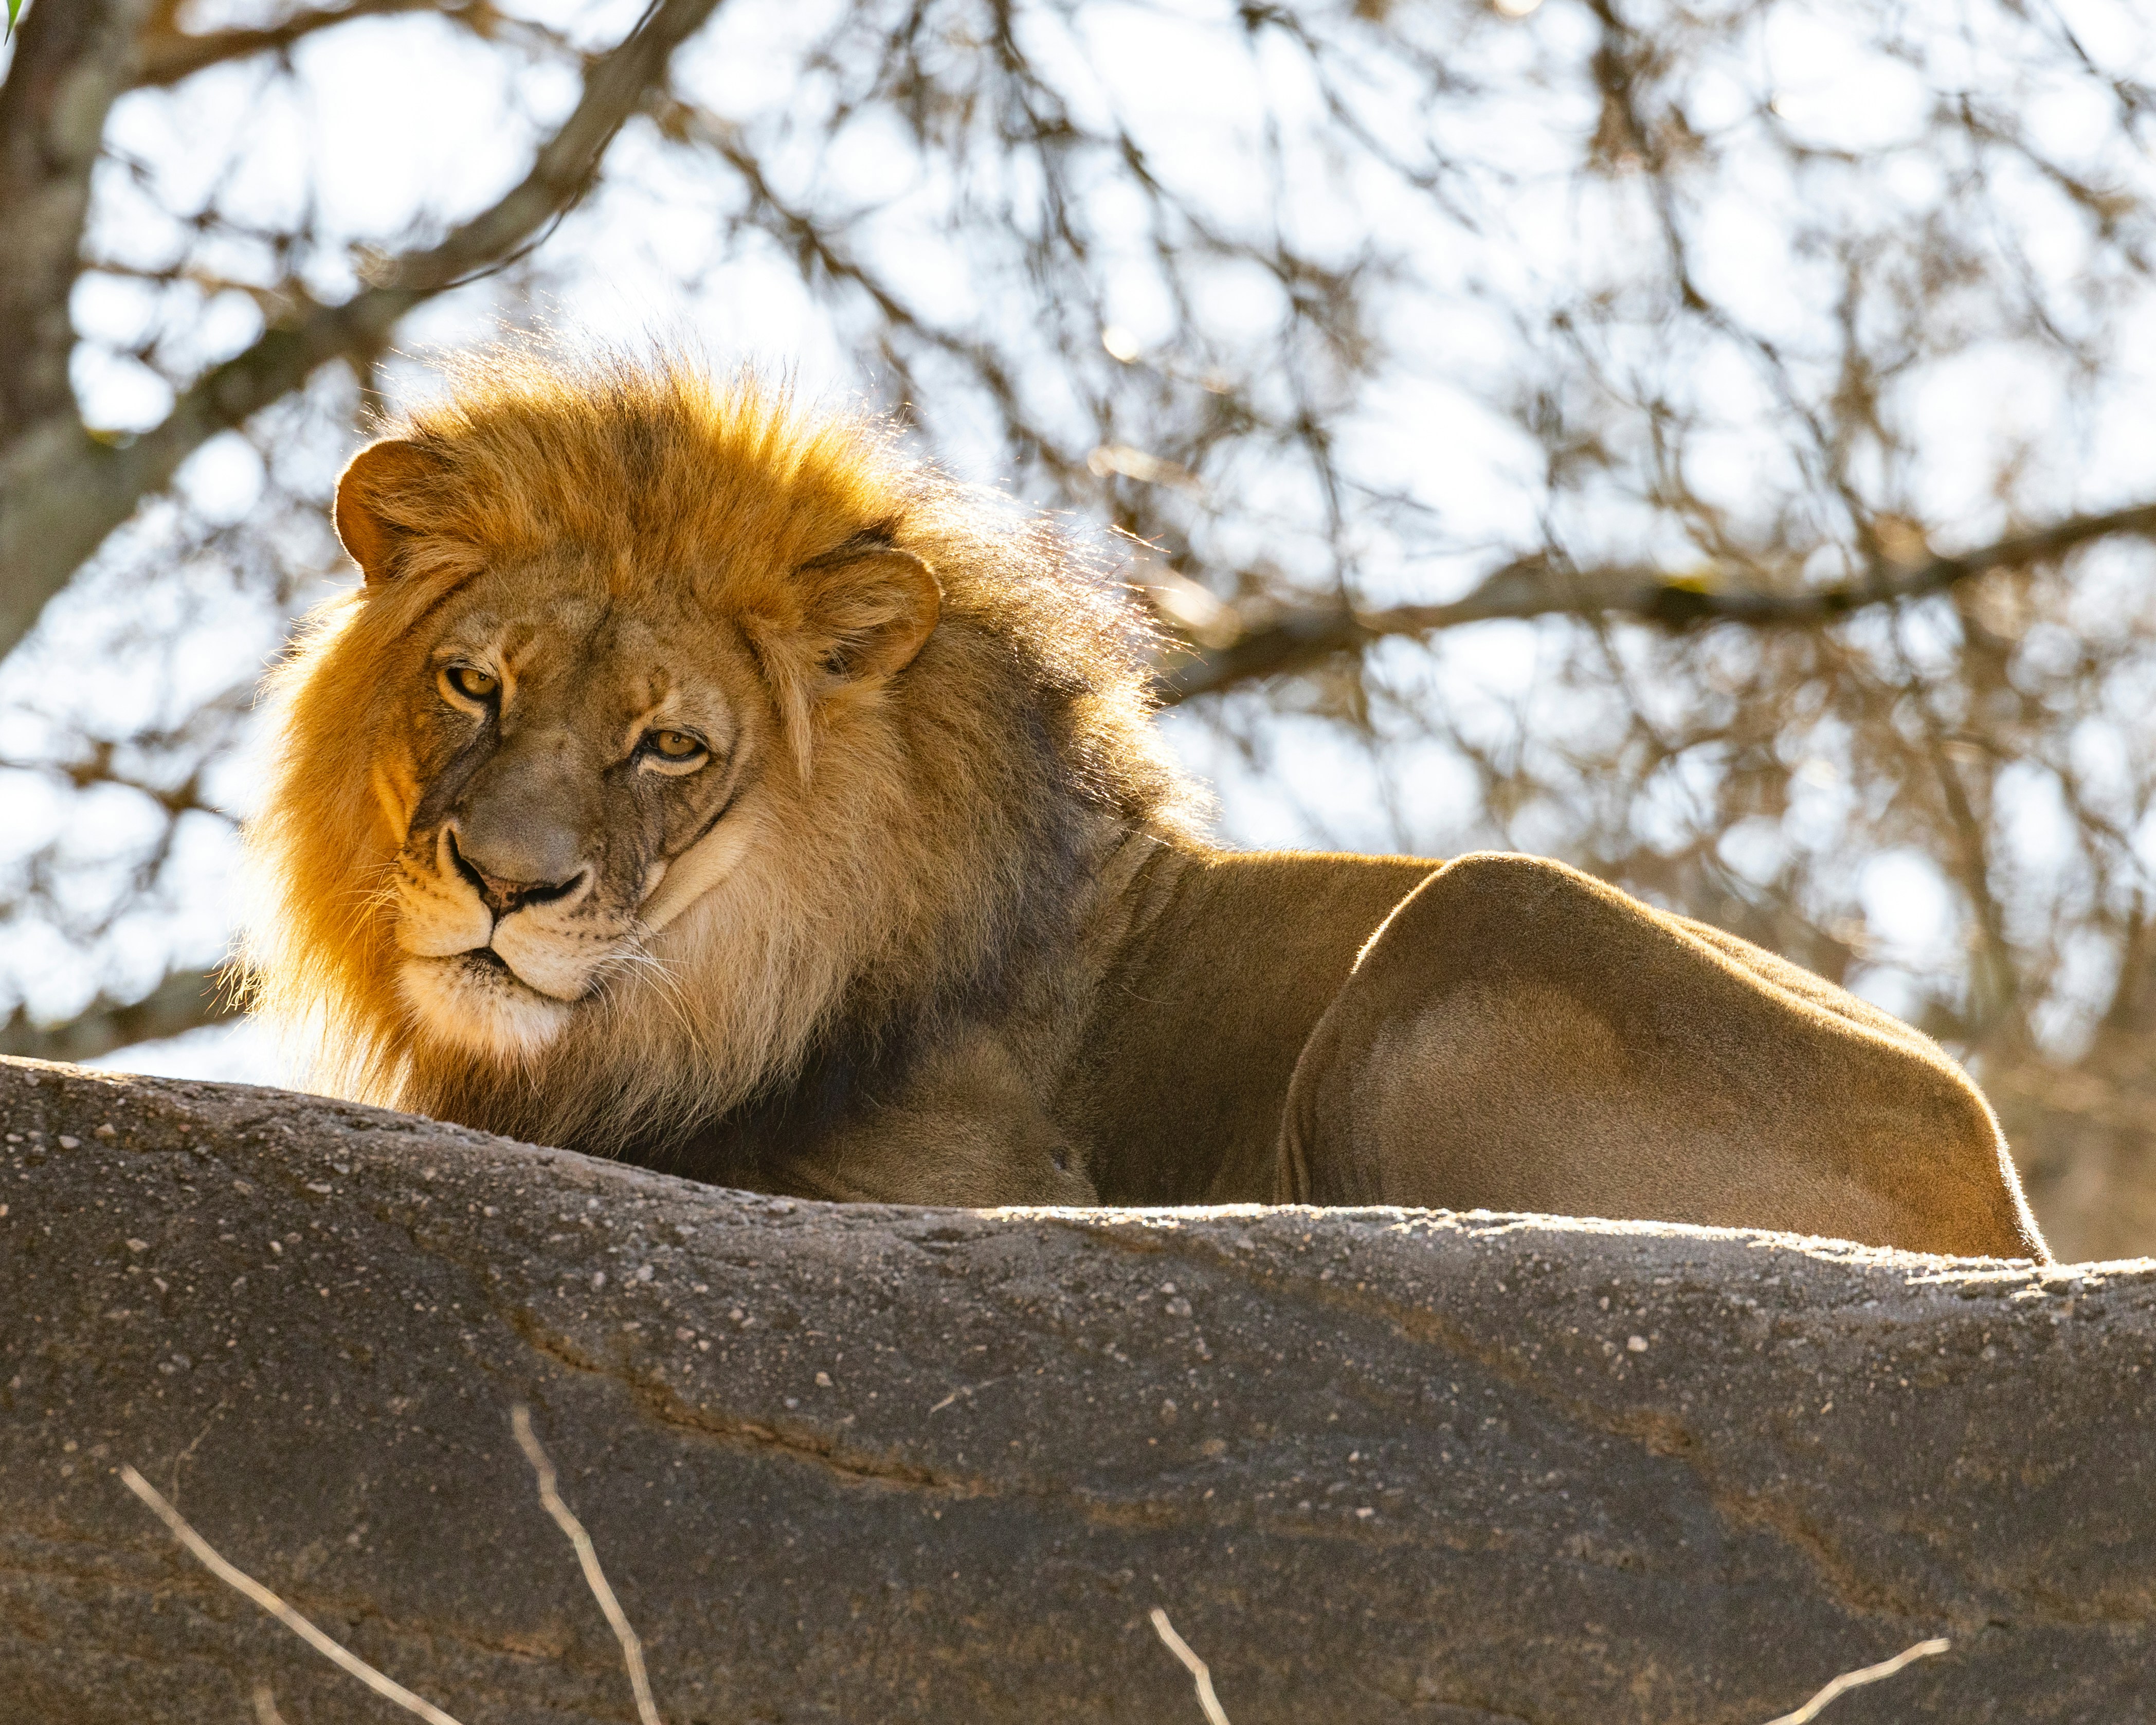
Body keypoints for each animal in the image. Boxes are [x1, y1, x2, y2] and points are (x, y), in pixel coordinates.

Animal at [243, 352, 2048, 1261]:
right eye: (475, 684)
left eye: (668, 746)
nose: (503, 884)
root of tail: (2011, 1212)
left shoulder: (945, 1187)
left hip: (1471, 911)